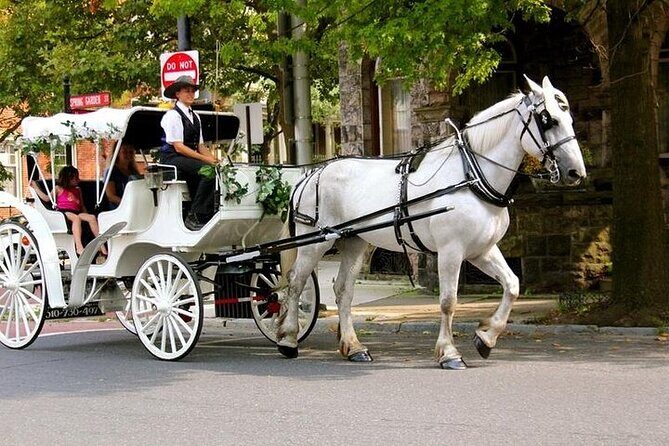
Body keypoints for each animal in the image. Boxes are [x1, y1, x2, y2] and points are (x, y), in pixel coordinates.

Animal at [275, 76, 586, 369]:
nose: (576, 172)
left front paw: (486, 337)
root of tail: (312, 173)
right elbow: (448, 302)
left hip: (355, 242)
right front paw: (449, 353)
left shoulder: (482, 250)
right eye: (549, 120)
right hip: (314, 242)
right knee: (296, 281)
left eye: (569, 119)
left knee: (343, 290)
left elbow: (512, 285)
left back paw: (353, 347)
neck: (472, 177)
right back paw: (289, 339)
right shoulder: (451, 251)